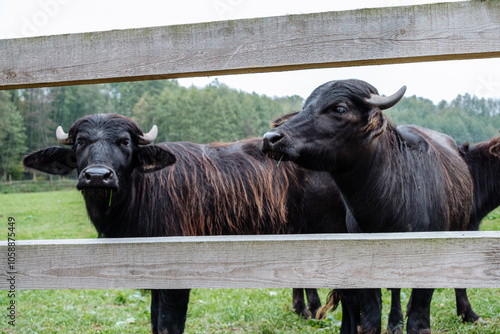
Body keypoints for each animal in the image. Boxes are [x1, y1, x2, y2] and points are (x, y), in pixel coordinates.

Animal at [21, 113, 346, 332]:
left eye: (124, 141)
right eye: (80, 142)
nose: (98, 176)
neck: (141, 196)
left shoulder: (178, 272)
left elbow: (168, 324)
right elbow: (155, 322)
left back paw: (314, 311)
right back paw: (302, 311)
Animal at [262, 79, 472, 334]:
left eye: (339, 108)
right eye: (305, 106)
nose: (271, 138)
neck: (387, 209)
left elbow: (418, 321)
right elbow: (371, 320)